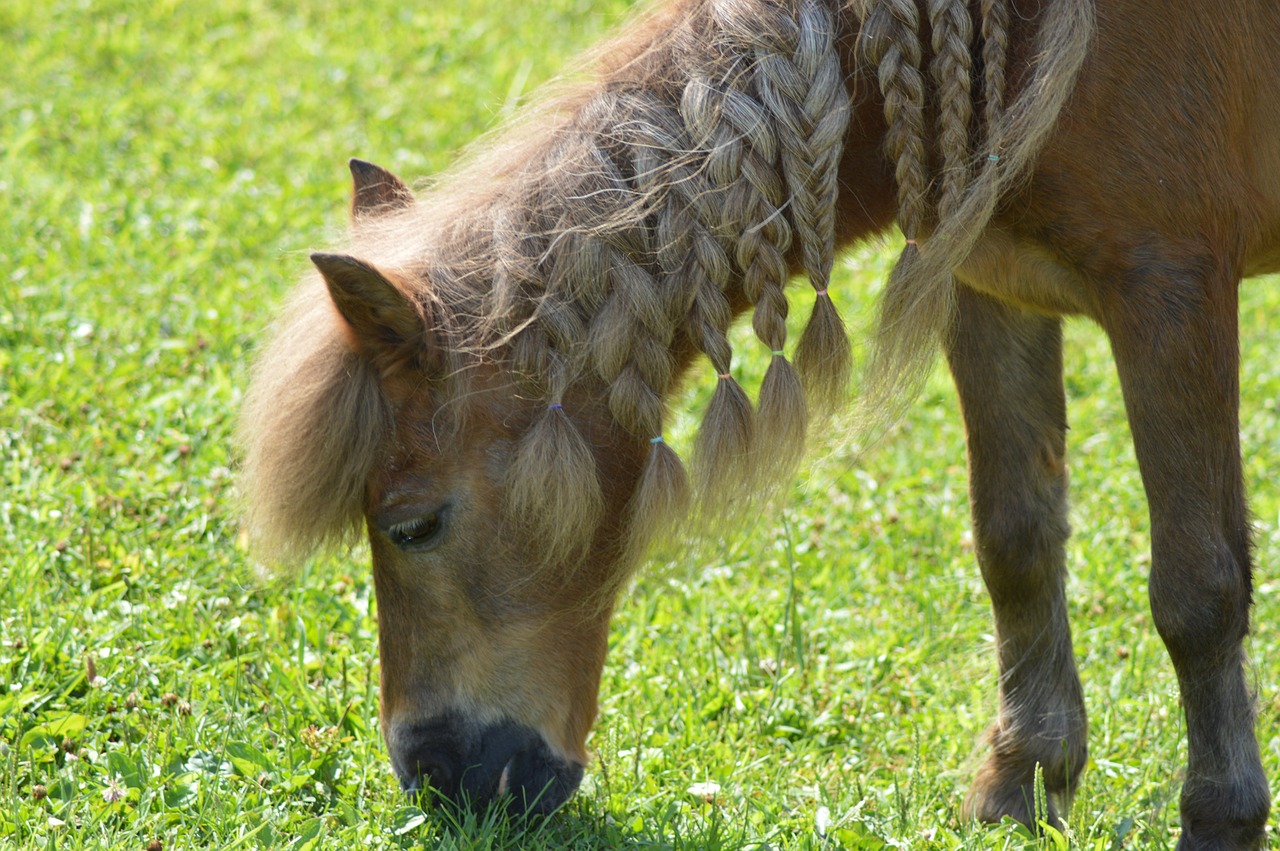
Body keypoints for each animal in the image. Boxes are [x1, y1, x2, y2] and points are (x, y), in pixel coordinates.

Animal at [238, 0, 1280, 844]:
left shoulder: (1170, 293)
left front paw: (1220, 817)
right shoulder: (990, 286)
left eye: (411, 525)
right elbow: (1016, 544)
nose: (437, 780)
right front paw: (1020, 783)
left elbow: (1197, 588)